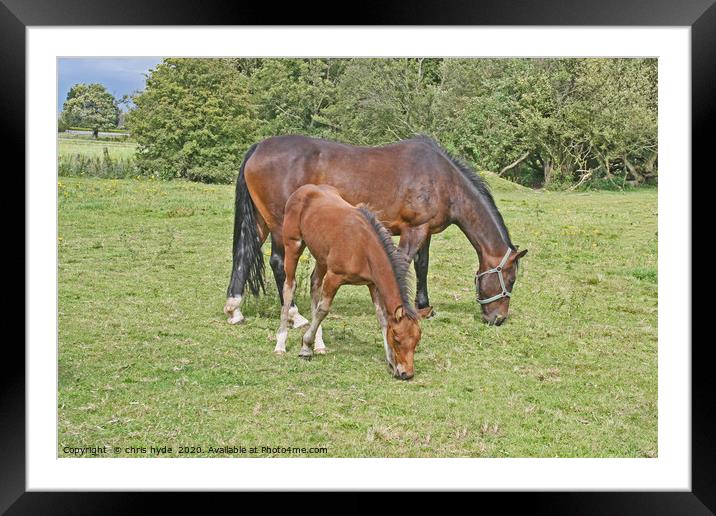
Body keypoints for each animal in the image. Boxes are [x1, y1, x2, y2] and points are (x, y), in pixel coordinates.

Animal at [224, 133, 524, 326]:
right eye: (510, 280)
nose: (498, 319)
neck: (442, 179)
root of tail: (258, 148)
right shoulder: (413, 230)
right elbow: (404, 263)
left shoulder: (424, 230)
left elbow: (422, 265)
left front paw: (424, 307)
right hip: (281, 226)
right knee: (278, 263)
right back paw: (295, 316)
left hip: (261, 223)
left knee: (244, 254)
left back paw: (235, 309)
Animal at [272, 185, 420, 378]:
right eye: (397, 338)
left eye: (417, 339)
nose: (406, 373)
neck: (362, 246)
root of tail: (304, 189)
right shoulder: (334, 277)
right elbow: (323, 310)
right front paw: (305, 347)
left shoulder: (373, 284)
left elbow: (381, 317)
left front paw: (390, 361)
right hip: (293, 245)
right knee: (290, 285)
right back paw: (280, 344)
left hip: (321, 257)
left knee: (314, 284)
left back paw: (319, 345)